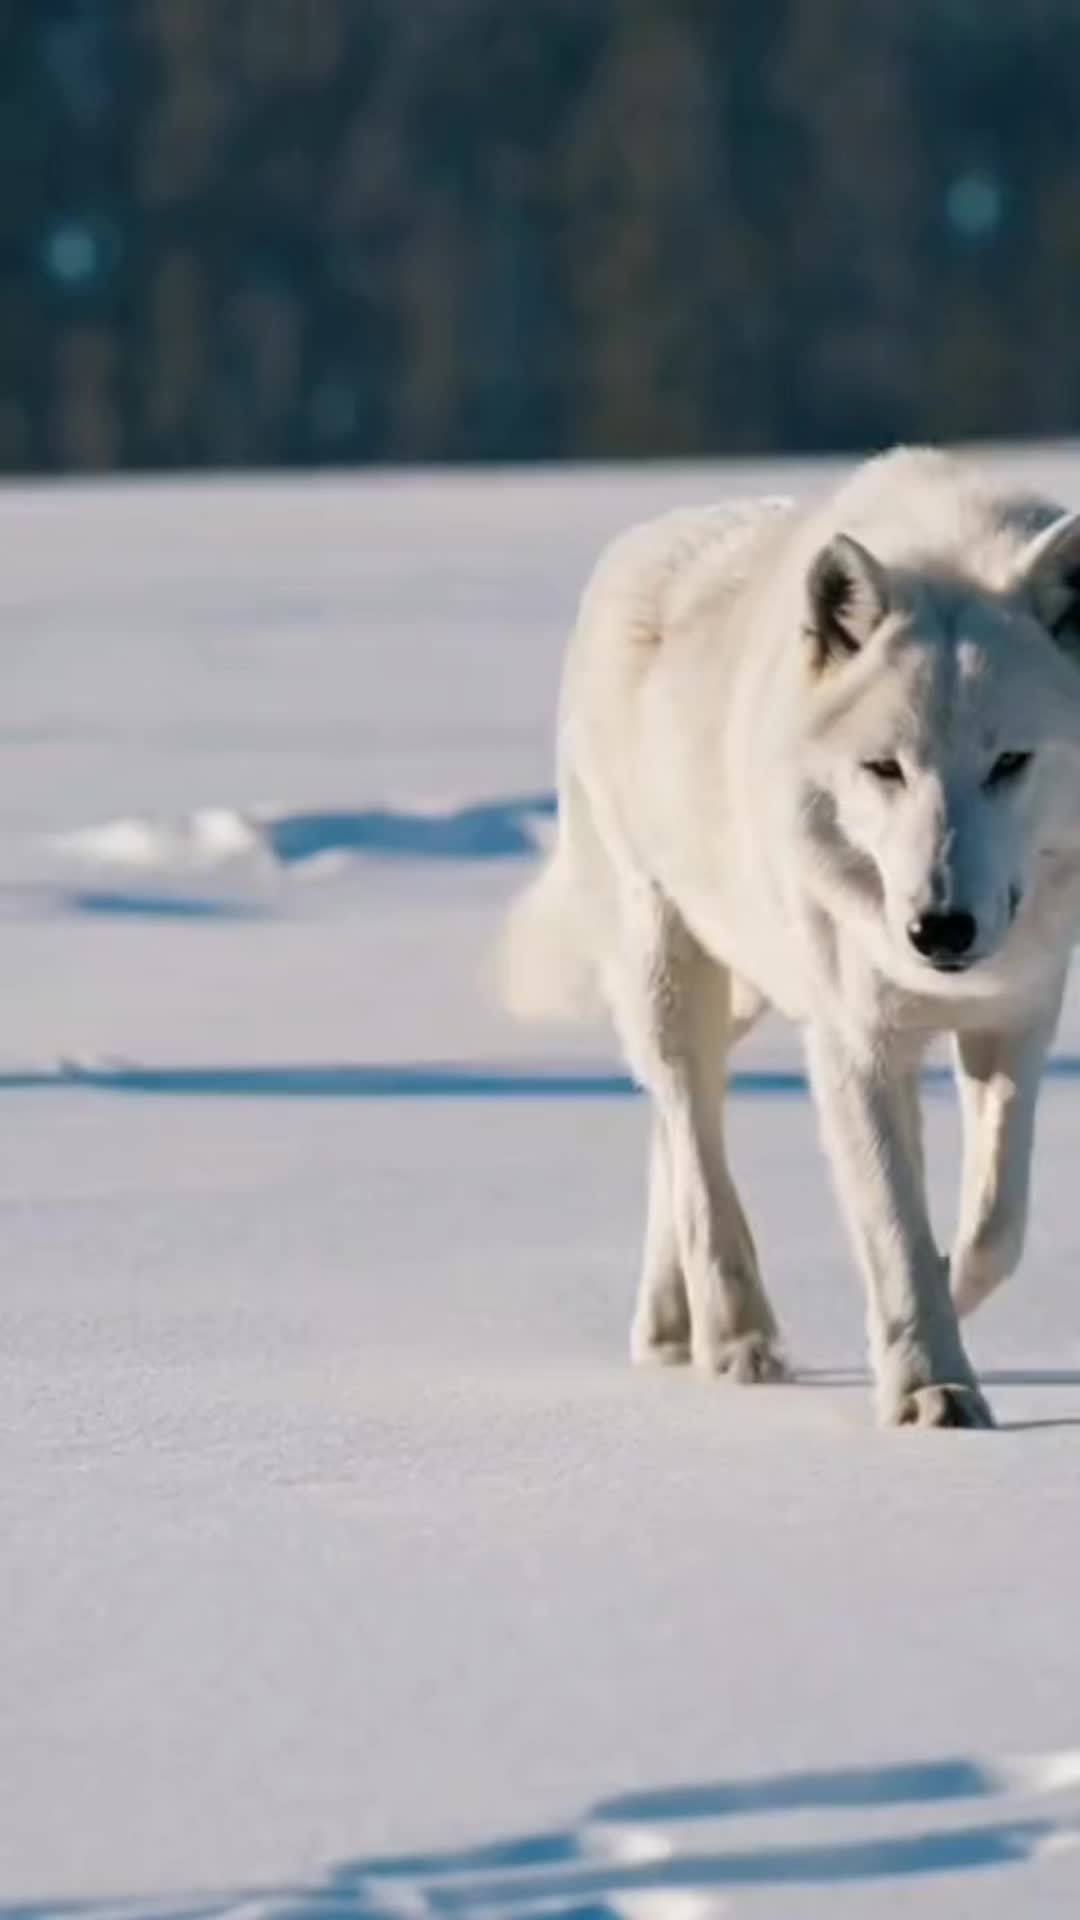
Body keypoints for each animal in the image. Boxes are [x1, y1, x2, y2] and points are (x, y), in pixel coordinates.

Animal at [499, 448, 1080, 1428]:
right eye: (885, 768)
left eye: (1009, 763)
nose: (938, 930)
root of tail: (636, 541)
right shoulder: (854, 1043)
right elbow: (894, 1226)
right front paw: (930, 1389)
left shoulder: (1016, 1024)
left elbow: (997, 1227)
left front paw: (931, 1319)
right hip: (673, 976)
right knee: (693, 1133)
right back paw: (734, 1340)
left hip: (746, 989)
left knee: (671, 1128)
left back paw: (667, 1329)